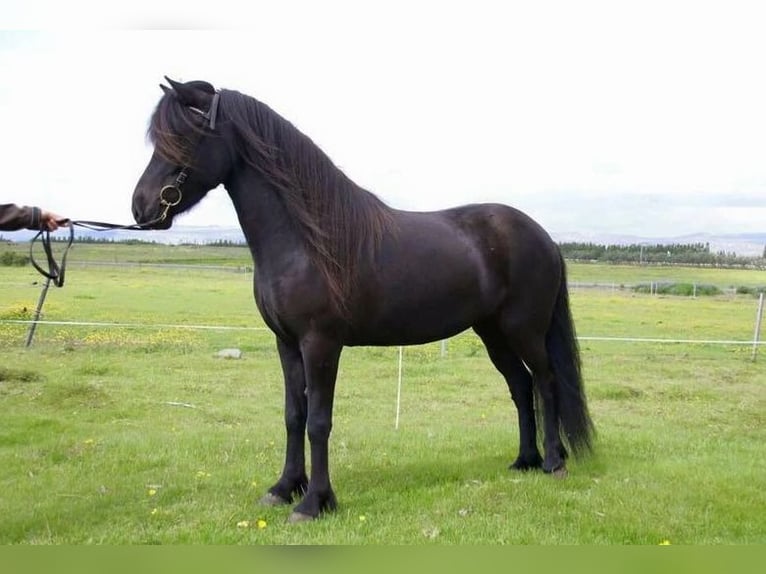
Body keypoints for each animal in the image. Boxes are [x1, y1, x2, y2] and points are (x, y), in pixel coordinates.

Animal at [135, 79, 596, 524]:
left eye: (185, 136)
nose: (141, 206)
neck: (308, 240)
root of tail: (544, 237)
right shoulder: (287, 344)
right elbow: (293, 416)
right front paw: (284, 489)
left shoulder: (321, 344)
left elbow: (318, 422)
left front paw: (314, 503)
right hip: (492, 332)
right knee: (520, 385)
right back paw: (524, 460)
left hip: (524, 329)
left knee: (546, 381)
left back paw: (553, 462)